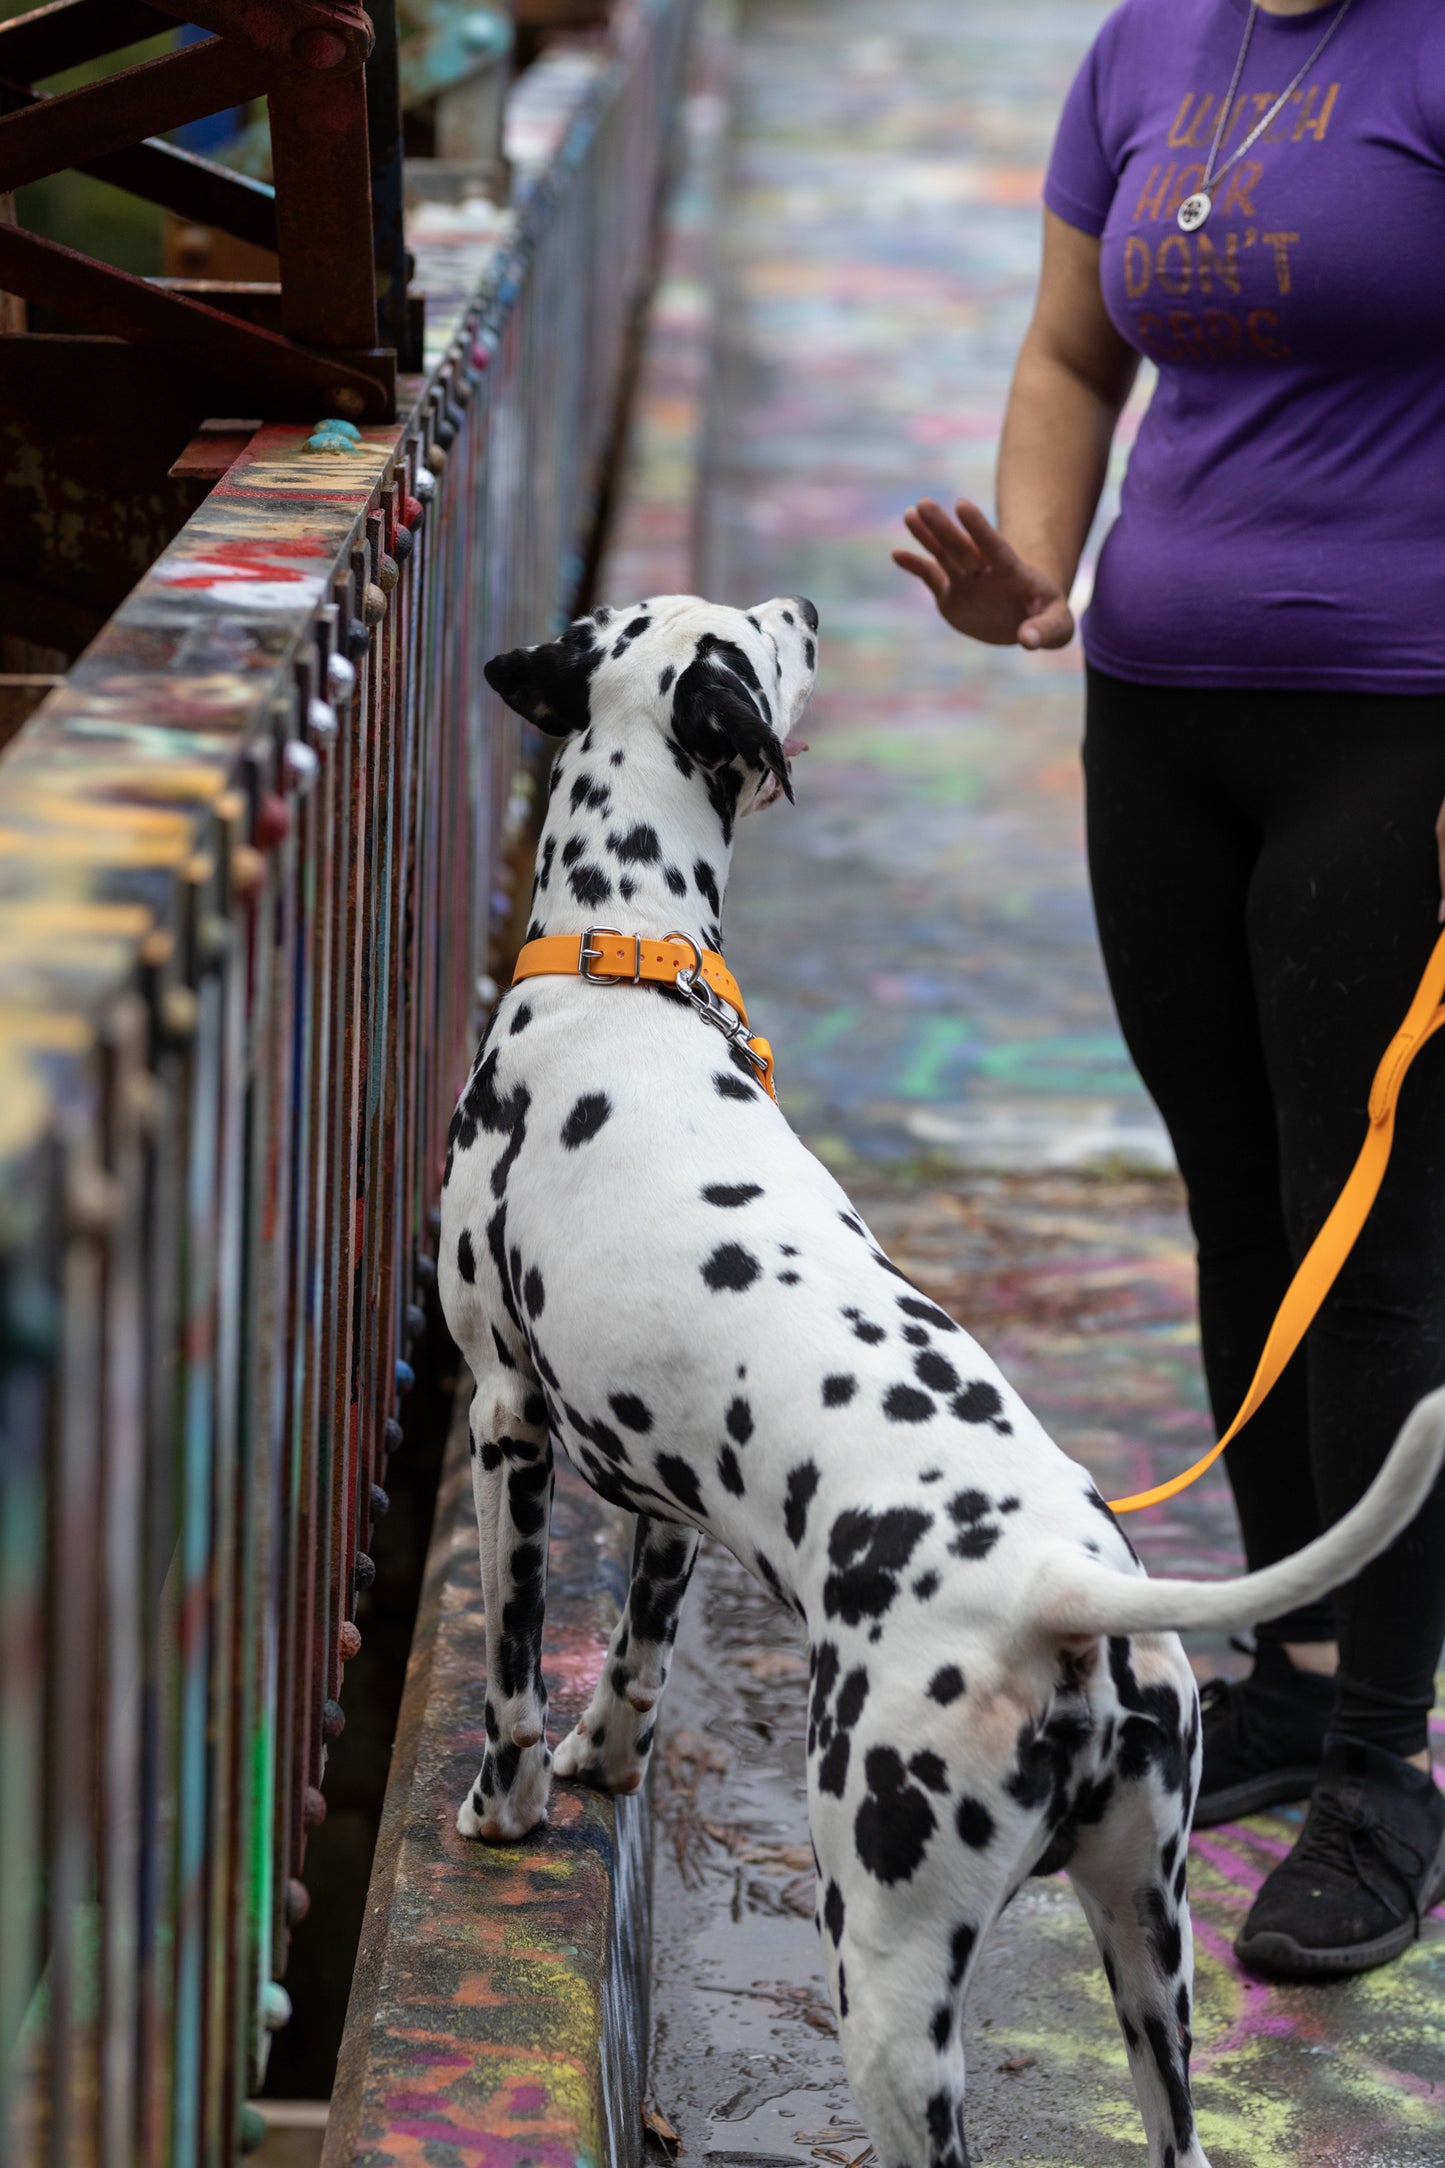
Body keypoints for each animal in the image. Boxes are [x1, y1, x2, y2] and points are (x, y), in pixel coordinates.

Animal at [437, 594, 1445, 2168]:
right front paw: (605, 1758)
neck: (624, 964)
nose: (805, 604)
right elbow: (638, 1661)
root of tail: (1062, 1594)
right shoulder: (658, 1488)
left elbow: (509, 1668)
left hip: (885, 1971)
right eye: (752, 629)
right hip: (1146, 1954)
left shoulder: (505, 1423)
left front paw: (508, 1806)